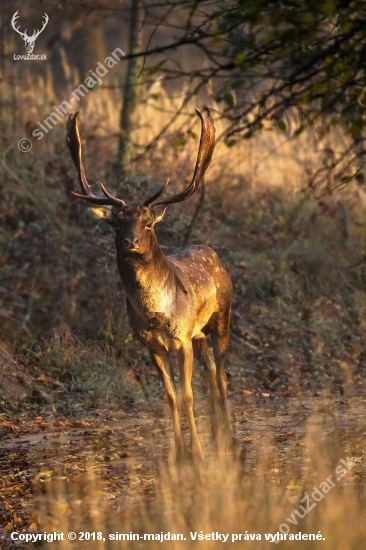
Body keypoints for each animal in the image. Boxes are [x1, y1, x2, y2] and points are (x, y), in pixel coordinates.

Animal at [66, 109, 233, 462]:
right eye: (116, 222)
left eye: (147, 223)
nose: (129, 241)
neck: (157, 313)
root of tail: (213, 252)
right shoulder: (151, 344)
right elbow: (170, 397)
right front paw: (180, 454)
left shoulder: (181, 339)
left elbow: (187, 396)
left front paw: (197, 454)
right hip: (199, 334)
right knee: (212, 373)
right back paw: (217, 435)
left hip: (221, 318)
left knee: (222, 374)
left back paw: (228, 440)